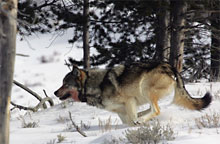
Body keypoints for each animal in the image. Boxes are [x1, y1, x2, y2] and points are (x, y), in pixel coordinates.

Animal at [54, 61, 212, 125]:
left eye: (65, 84)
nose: (55, 92)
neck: (94, 85)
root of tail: (169, 66)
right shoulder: (121, 111)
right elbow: (128, 122)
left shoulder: (129, 100)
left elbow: (132, 119)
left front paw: (137, 124)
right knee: (153, 109)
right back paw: (142, 118)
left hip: (145, 88)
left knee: (156, 110)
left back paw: (141, 120)